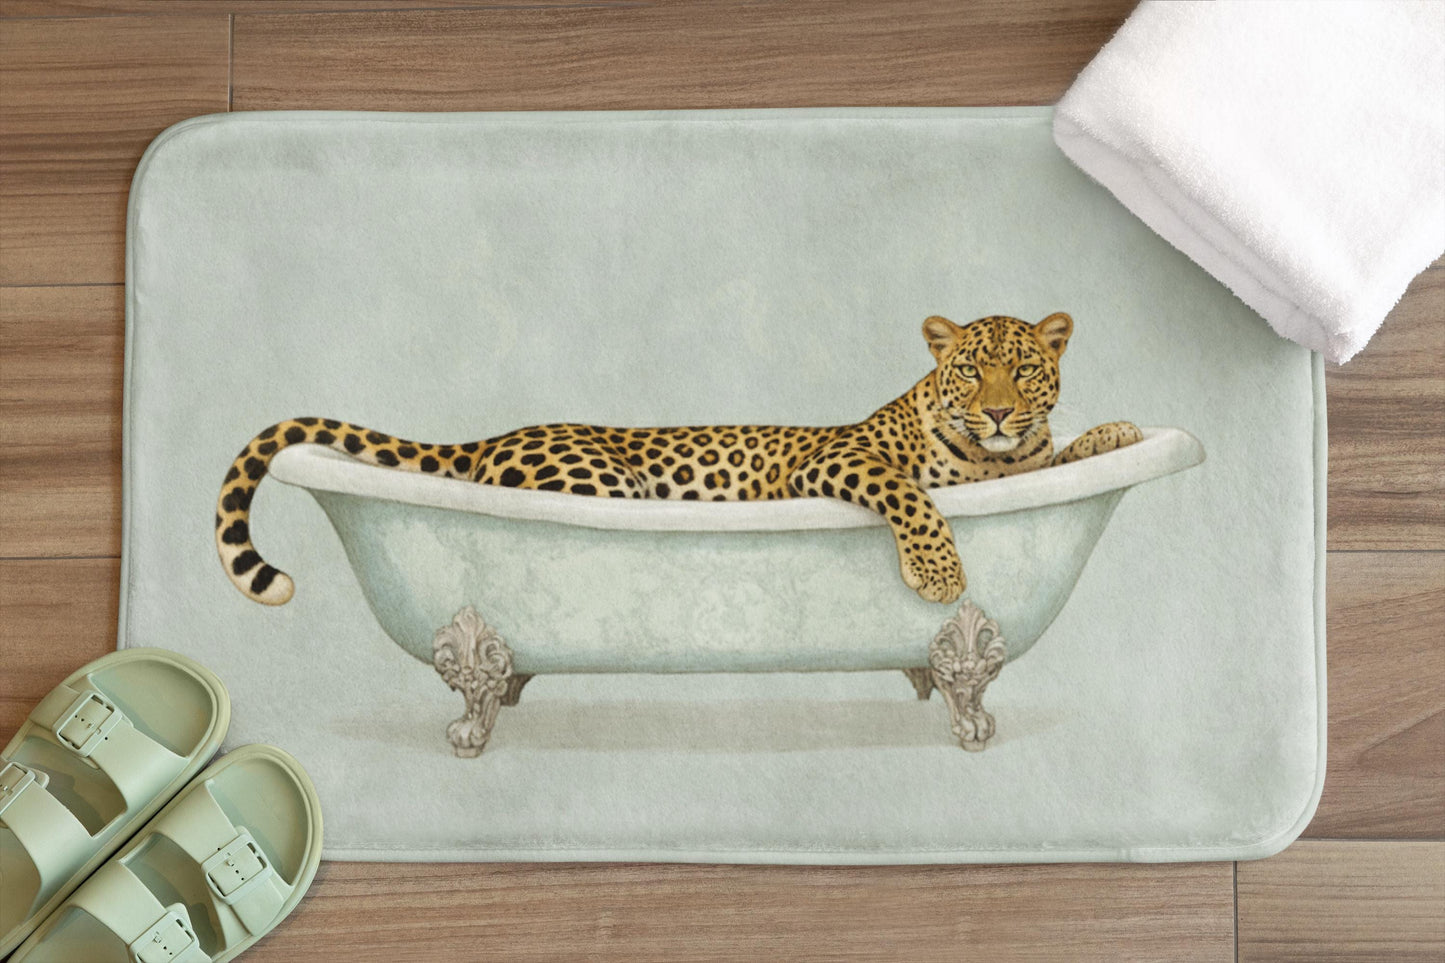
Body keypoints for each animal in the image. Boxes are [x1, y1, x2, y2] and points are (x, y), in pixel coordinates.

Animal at [216, 312, 1141, 607]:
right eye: (970, 369)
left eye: (1022, 369)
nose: (998, 411)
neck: (988, 463)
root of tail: (494, 436)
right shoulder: (836, 461)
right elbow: (908, 495)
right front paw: (940, 573)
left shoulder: (1019, 465)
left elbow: (1057, 454)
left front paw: (1118, 433)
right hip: (597, 479)